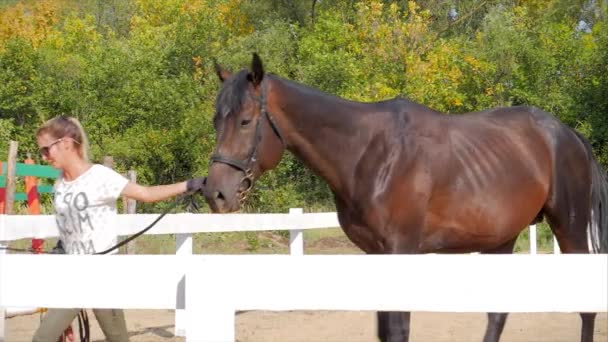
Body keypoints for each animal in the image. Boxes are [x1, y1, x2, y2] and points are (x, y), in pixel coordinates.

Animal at [202, 53, 604, 342]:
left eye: (246, 121)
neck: (369, 152)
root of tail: (567, 134)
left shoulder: (401, 251)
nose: (216, 193)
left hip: (569, 229)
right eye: (215, 119)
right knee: (497, 313)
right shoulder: (377, 255)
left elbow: (398, 329)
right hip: (500, 240)